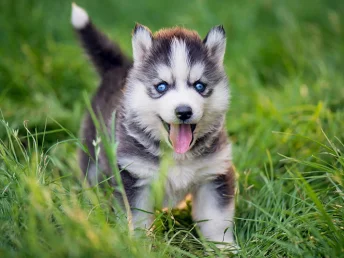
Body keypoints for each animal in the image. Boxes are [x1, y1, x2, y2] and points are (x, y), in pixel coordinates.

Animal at [71, 3, 235, 247]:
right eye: (161, 87)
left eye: (199, 86)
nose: (184, 111)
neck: (178, 155)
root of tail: (120, 67)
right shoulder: (133, 177)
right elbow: (137, 220)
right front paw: (138, 246)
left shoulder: (214, 175)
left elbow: (217, 221)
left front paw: (225, 248)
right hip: (93, 156)